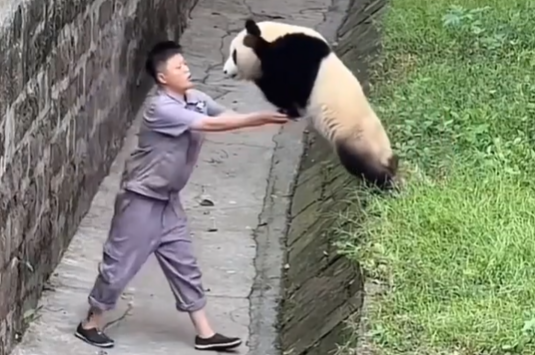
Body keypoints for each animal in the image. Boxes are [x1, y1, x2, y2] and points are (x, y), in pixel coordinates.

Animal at [221, 18, 398, 192]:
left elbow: (280, 89)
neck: (273, 36)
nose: (225, 71)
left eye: (234, 54)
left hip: (354, 136)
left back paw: (385, 182)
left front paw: (287, 110)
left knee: (361, 164)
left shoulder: (292, 57)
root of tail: (385, 155)